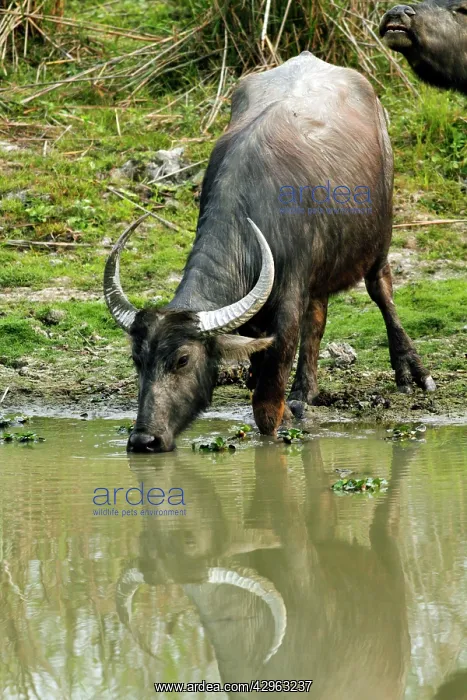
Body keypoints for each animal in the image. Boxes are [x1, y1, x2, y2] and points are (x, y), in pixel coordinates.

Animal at [104, 51, 435, 453]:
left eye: (182, 360)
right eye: (137, 359)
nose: (144, 439)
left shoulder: (287, 301)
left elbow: (265, 402)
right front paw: (291, 408)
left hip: (379, 243)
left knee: (381, 291)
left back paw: (410, 373)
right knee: (318, 318)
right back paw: (303, 393)